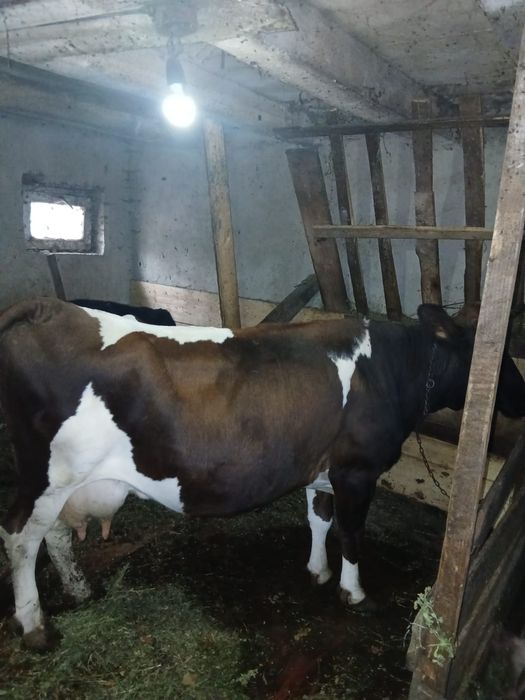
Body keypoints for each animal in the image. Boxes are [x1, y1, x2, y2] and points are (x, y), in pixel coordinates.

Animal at [0, 297, 524, 651]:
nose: (520, 395)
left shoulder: (320, 469)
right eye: (494, 357)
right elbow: (352, 534)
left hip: (62, 482)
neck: (391, 370)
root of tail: (48, 307)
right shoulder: (356, 470)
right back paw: (35, 626)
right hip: (48, 475)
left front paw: (317, 570)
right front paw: (354, 592)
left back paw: (79, 589)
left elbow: (320, 519)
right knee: (20, 537)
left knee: (56, 535)